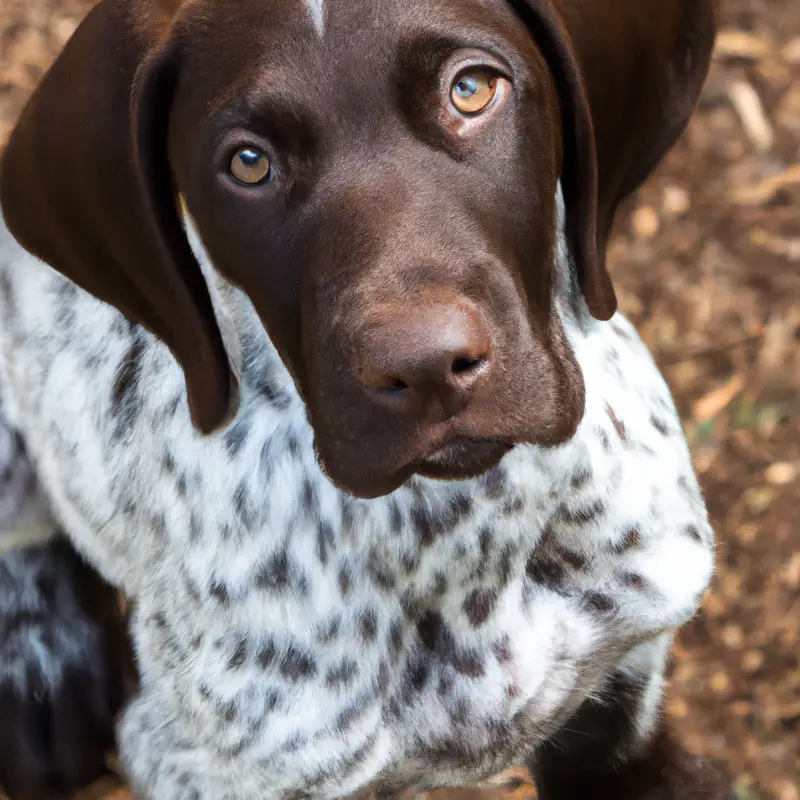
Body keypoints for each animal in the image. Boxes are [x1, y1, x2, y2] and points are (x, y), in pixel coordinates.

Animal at [0, 0, 732, 796]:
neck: (464, 529)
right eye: (248, 163)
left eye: (472, 89)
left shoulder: (626, 674)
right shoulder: (197, 763)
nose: (427, 367)